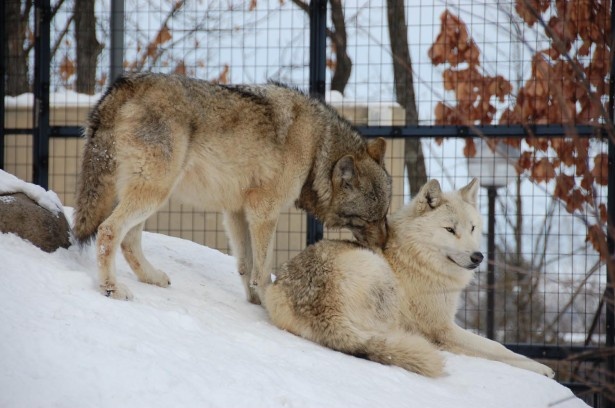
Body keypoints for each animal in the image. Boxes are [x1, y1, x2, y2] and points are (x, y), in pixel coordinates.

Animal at [72, 73, 390, 302]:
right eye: (369, 219)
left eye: (384, 215)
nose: (385, 246)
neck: (316, 149)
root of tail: (126, 83)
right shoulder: (264, 211)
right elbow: (263, 268)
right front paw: (268, 304)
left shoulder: (237, 211)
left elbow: (246, 266)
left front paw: (255, 302)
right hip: (153, 193)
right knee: (109, 230)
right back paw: (111, 288)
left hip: (152, 194)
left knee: (129, 239)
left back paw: (152, 277)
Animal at [268, 178, 556, 380]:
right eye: (450, 230)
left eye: (473, 228)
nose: (478, 257)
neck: (417, 258)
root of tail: (322, 310)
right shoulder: (443, 328)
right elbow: (498, 348)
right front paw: (542, 369)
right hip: (379, 275)